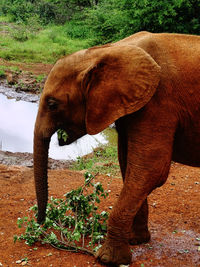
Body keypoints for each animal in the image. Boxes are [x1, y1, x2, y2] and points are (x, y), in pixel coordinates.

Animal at [33, 31, 200, 266]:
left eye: (52, 104)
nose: (41, 222)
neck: (109, 49)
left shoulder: (159, 101)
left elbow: (151, 169)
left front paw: (108, 259)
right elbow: (128, 163)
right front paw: (136, 240)